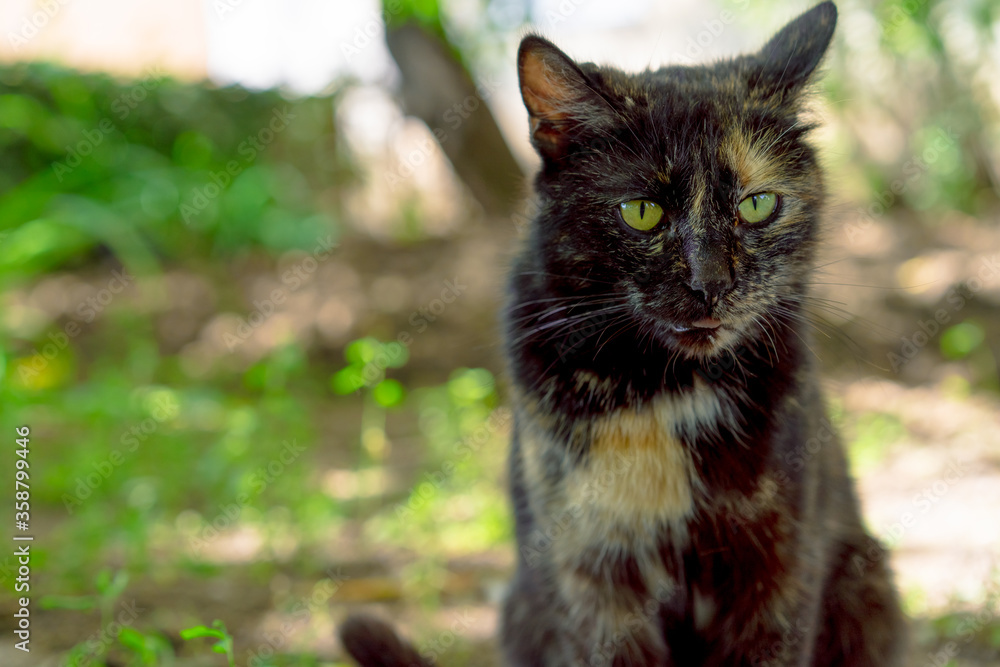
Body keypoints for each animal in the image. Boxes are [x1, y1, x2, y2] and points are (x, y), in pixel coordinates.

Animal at [338, 2, 908, 664]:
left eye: (758, 204)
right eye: (642, 212)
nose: (710, 283)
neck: (670, 392)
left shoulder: (781, 564)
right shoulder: (592, 573)